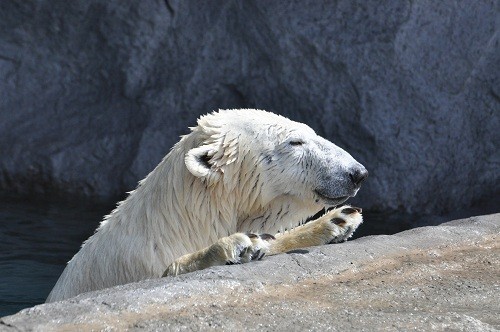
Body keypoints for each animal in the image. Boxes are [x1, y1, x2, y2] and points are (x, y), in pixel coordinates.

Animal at [47, 110, 368, 302]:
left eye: (311, 132)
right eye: (296, 142)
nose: (357, 172)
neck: (186, 217)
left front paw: (337, 221)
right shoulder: (133, 266)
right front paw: (237, 245)